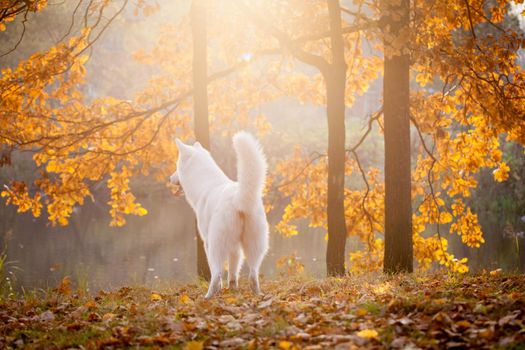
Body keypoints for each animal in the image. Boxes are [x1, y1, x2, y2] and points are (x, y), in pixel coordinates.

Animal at [172, 131, 268, 298]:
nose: (170, 178)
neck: (206, 183)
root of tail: (238, 198)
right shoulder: (235, 248)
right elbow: (233, 273)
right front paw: (232, 289)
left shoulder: (207, 243)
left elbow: (216, 273)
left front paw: (221, 289)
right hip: (254, 246)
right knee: (253, 274)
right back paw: (257, 294)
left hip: (216, 246)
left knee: (216, 273)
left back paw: (208, 297)